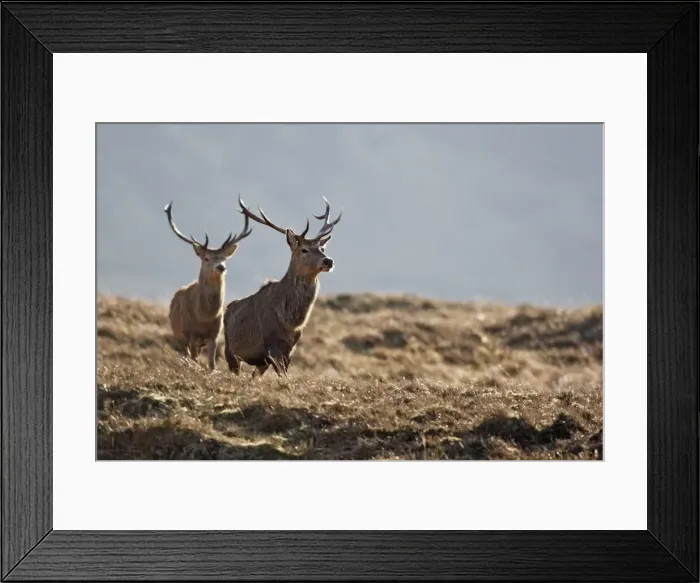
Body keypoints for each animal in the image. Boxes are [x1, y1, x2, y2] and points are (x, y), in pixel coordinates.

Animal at [164, 201, 252, 371]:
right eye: (206, 258)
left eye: (224, 258)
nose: (221, 267)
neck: (204, 316)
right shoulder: (190, 334)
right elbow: (194, 360)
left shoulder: (215, 334)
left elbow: (212, 365)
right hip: (180, 337)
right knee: (186, 356)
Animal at [223, 195, 342, 377]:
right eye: (304, 250)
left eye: (322, 248)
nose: (328, 261)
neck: (290, 320)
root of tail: (227, 309)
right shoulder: (272, 345)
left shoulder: (289, 348)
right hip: (230, 351)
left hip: (260, 361)